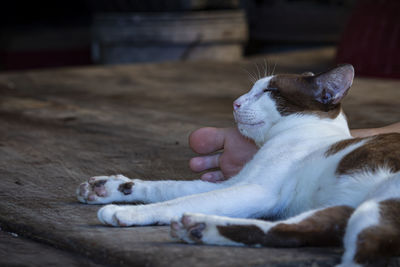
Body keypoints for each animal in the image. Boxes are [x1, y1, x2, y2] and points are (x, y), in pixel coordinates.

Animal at [76, 65, 400, 267]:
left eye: (270, 91)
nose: (236, 102)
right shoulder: (235, 182)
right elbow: (169, 188)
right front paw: (111, 188)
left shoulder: (257, 190)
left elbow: (179, 200)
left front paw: (128, 212)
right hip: (346, 209)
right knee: (300, 231)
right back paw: (199, 228)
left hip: (377, 205)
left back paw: (199, 227)